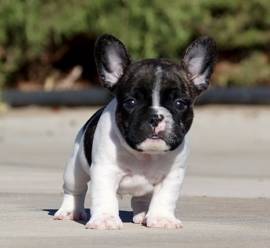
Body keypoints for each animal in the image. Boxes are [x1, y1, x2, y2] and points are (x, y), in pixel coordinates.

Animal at [53, 34, 216, 230]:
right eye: (131, 102)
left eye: (180, 103)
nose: (155, 117)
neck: (146, 155)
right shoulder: (105, 171)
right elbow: (104, 196)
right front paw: (105, 220)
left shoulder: (172, 176)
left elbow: (165, 198)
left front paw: (161, 218)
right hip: (75, 167)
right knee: (75, 189)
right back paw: (69, 211)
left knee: (142, 199)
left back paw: (144, 215)